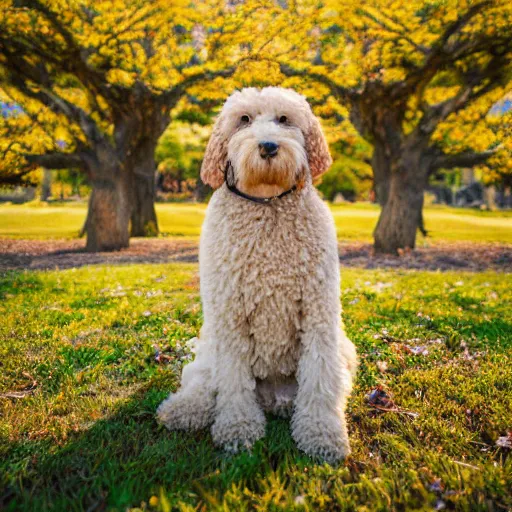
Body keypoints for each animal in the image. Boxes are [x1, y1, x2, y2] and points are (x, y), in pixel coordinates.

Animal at [158, 86, 358, 462]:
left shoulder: (319, 310)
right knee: (204, 381)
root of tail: (273, 398)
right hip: (209, 343)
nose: (267, 146)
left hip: (344, 350)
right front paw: (237, 427)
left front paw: (322, 433)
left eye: (284, 119)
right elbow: (233, 380)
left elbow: (320, 377)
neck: (267, 204)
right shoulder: (229, 312)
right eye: (244, 120)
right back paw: (184, 409)